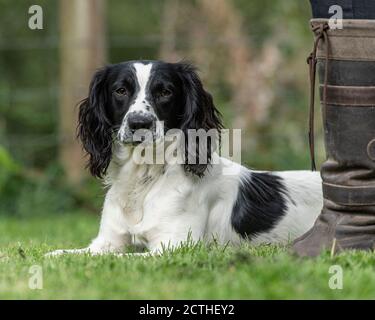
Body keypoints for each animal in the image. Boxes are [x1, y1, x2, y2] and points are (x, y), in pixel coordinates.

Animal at [47, 60, 324, 256]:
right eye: (120, 90)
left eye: (165, 92)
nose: (139, 123)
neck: (145, 178)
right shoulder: (106, 243)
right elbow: (59, 255)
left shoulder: (173, 246)